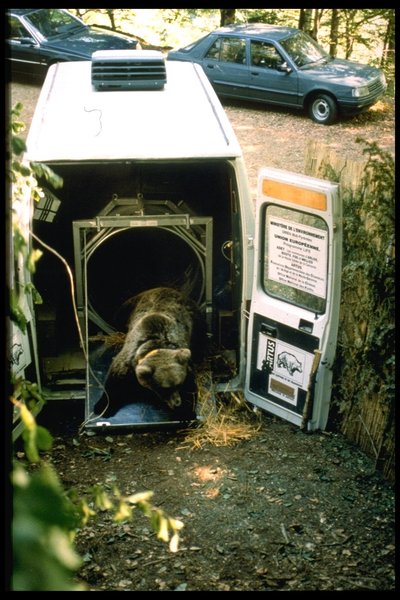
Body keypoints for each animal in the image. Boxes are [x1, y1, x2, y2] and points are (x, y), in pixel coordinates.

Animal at [94, 288, 206, 418]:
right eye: (164, 389)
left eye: (179, 384)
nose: (177, 402)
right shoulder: (128, 362)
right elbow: (114, 381)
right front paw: (102, 407)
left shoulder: (185, 362)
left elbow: (190, 387)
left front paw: (186, 411)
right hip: (128, 307)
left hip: (196, 319)